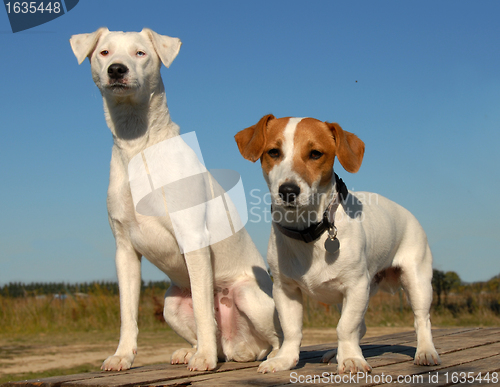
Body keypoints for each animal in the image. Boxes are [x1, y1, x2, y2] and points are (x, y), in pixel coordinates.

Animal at [69, 28, 282, 372]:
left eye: (140, 53)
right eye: (104, 52)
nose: (117, 69)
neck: (137, 144)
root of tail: (238, 346)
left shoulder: (193, 238)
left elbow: (204, 311)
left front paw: (204, 359)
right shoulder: (124, 251)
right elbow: (127, 313)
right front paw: (122, 356)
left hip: (249, 295)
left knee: (272, 338)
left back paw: (262, 356)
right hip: (171, 304)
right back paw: (192, 351)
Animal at [236, 116, 440, 376]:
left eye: (315, 154)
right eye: (273, 152)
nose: (288, 191)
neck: (310, 232)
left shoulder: (356, 286)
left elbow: (346, 327)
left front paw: (351, 358)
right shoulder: (285, 289)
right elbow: (292, 330)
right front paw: (284, 359)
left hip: (417, 282)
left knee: (421, 319)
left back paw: (425, 352)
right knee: (362, 327)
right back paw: (335, 353)